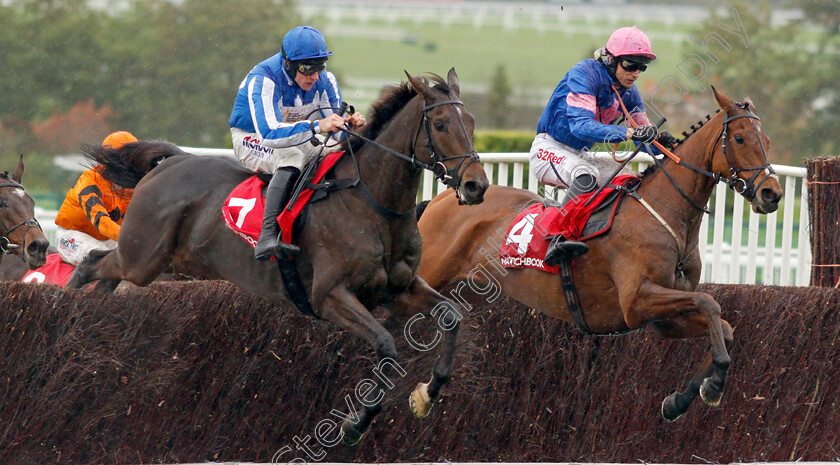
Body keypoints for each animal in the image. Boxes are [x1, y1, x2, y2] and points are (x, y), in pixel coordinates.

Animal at [69, 68, 488, 442]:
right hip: (143, 258)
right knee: (91, 264)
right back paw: (71, 308)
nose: (476, 186)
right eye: (440, 125)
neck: (372, 203)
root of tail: (173, 161)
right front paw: (355, 424)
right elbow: (386, 345)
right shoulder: (330, 296)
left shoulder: (397, 290)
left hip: (170, 261)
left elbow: (451, 316)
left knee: (106, 277)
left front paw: (425, 396)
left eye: (470, 121)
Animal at [416, 87, 784, 420]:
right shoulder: (636, 302)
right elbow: (710, 303)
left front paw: (684, 398)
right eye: (739, 138)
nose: (772, 194)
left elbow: (723, 326)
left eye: (766, 140)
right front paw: (715, 384)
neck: (666, 214)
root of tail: (442, 199)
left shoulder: (663, 319)